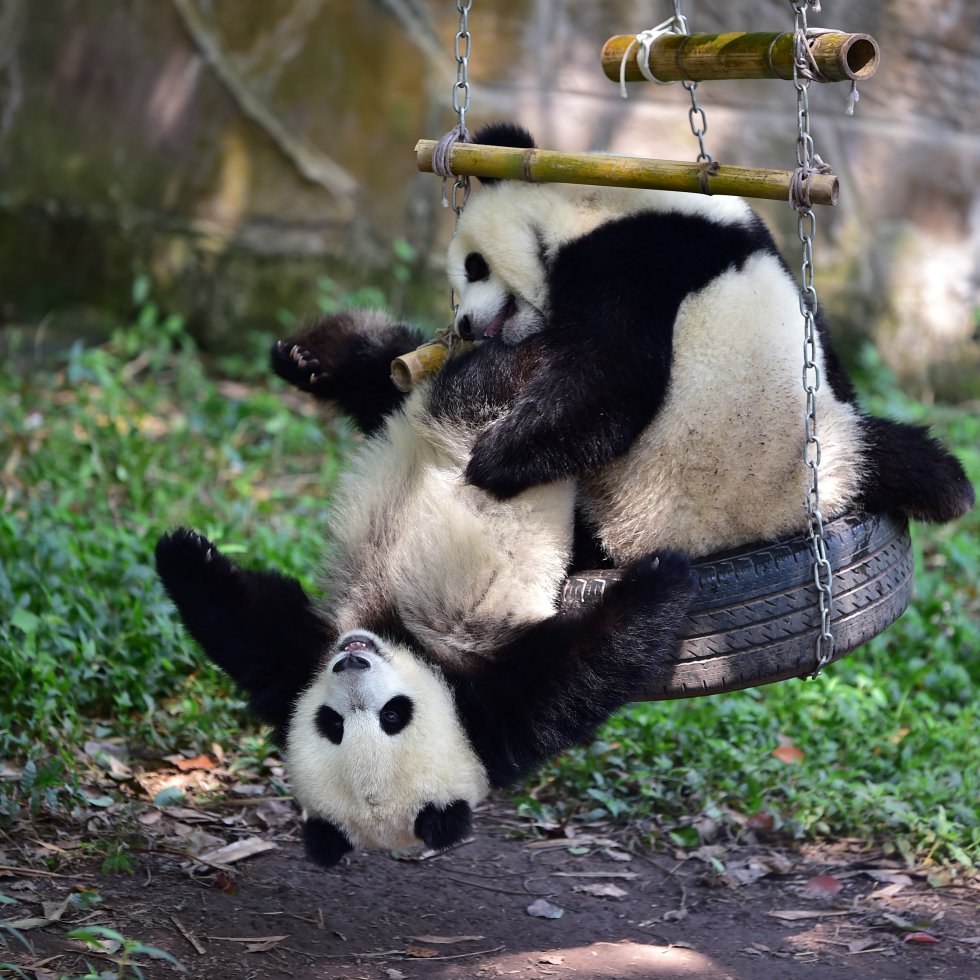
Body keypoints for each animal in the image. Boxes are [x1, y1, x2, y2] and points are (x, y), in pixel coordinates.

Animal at [153, 310, 692, 868]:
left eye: (393, 716)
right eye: (332, 723)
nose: (351, 660)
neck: (410, 646)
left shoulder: (494, 711)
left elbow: (583, 668)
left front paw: (662, 576)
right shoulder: (300, 672)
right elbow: (250, 628)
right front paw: (183, 551)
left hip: (488, 427)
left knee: (521, 387)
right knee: (411, 377)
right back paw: (314, 356)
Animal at [450, 120, 972, 560]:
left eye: (474, 266)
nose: (463, 326)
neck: (593, 197)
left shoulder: (629, 258)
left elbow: (608, 381)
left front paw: (490, 459)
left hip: (662, 497)